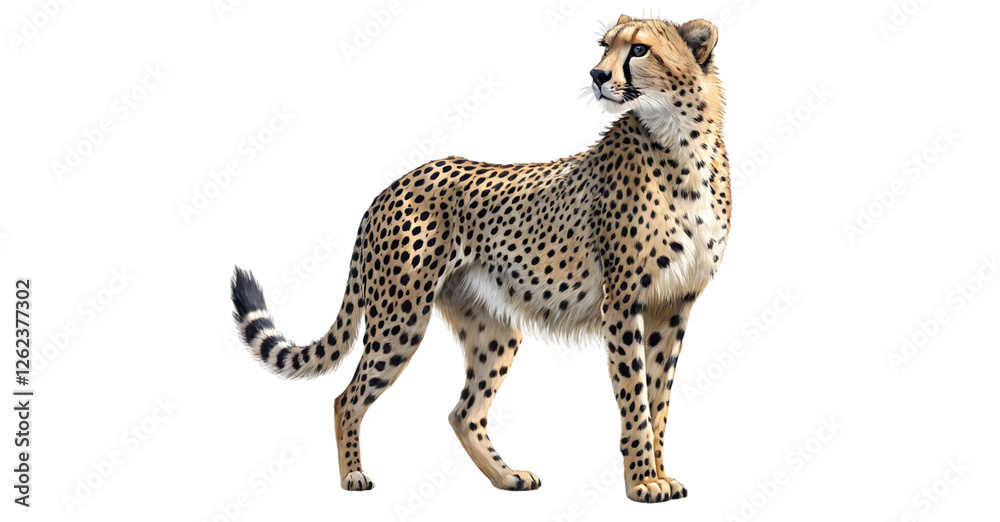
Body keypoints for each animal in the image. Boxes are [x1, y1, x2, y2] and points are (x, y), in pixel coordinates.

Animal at [231, 14, 731, 503]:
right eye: (605, 47)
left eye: (640, 49)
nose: (597, 75)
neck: (682, 142)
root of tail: (392, 186)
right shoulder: (624, 304)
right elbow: (635, 399)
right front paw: (643, 482)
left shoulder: (674, 305)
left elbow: (659, 399)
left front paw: (660, 474)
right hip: (401, 317)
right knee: (347, 398)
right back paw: (353, 476)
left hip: (493, 329)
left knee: (463, 411)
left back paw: (508, 477)